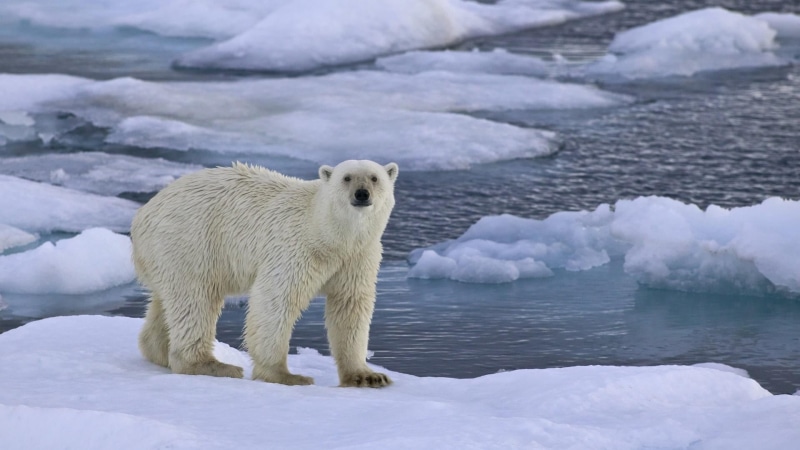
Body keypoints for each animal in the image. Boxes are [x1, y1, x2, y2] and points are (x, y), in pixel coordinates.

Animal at [130, 160, 398, 388]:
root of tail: (142, 215)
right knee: (195, 300)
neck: (328, 235)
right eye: (347, 177)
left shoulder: (357, 258)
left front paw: (368, 376)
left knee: (168, 302)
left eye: (374, 178)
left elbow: (350, 306)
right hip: (190, 241)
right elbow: (277, 299)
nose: (361, 194)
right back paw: (213, 365)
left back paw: (159, 351)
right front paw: (286, 375)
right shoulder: (295, 248)